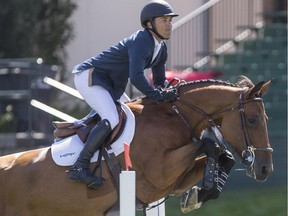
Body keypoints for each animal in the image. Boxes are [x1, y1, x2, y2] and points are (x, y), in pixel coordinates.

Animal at [0, 75, 274, 214]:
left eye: (266, 119)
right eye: (252, 120)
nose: (265, 169)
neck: (174, 116)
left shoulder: (174, 179)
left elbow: (222, 155)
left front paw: (200, 193)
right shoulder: (160, 172)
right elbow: (211, 145)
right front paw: (204, 186)